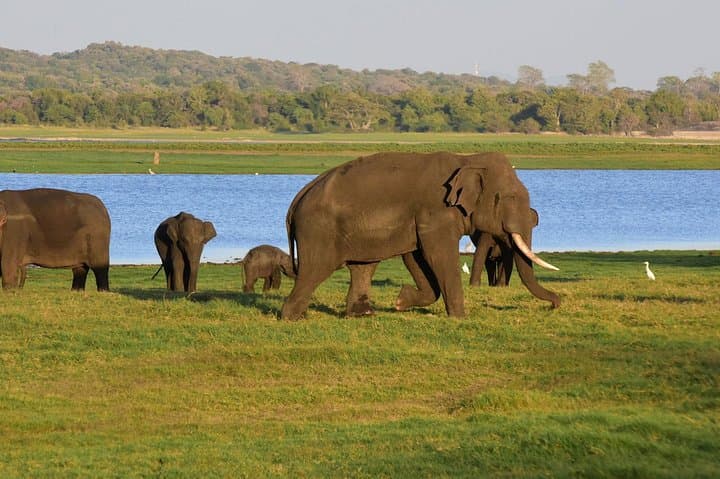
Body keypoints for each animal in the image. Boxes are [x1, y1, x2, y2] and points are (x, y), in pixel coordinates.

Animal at [281, 151, 560, 320]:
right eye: (506, 198)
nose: (556, 303)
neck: (467, 159)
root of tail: (298, 197)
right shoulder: (436, 212)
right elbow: (439, 255)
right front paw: (459, 317)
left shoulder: (419, 220)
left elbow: (416, 257)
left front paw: (401, 300)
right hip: (319, 231)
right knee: (316, 269)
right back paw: (292, 316)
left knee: (363, 267)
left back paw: (363, 314)